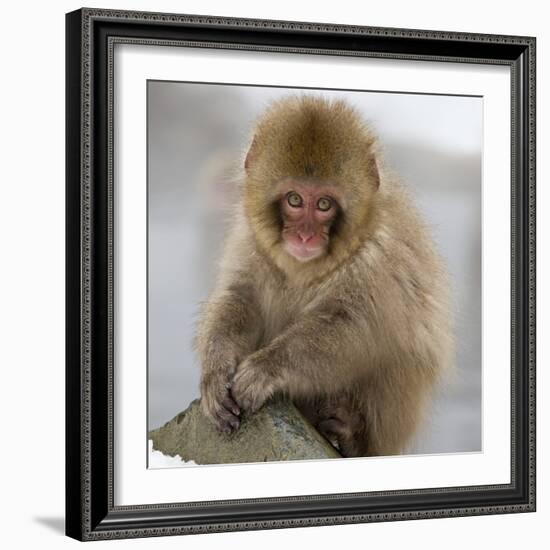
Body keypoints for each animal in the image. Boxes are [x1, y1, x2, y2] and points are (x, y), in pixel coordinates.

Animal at [196, 95, 454, 458]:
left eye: (323, 204)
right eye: (294, 199)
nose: (305, 236)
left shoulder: (378, 258)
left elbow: (354, 328)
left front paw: (266, 368)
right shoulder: (250, 241)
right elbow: (240, 297)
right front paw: (216, 371)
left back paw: (350, 435)